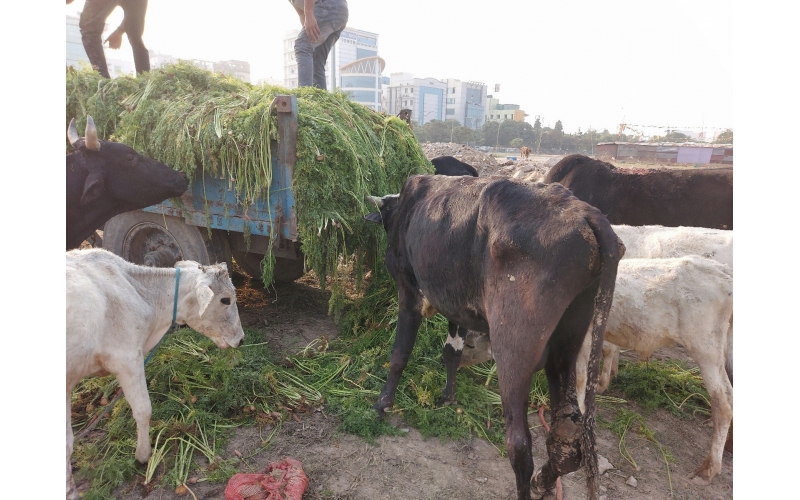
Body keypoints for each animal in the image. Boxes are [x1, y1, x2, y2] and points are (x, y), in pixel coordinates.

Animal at [368, 173, 624, 500]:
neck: (406, 206)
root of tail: (584, 212)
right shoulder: (457, 307)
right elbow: (451, 353)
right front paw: (448, 397)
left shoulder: (408, 289)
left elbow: (400, 353)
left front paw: (382, 404)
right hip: (568, 341)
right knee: (566, 437)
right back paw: (543, 481)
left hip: (513, 349)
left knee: (519, 444)